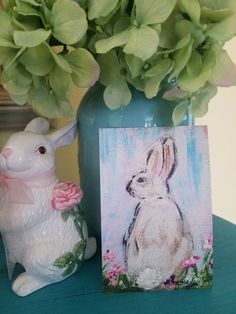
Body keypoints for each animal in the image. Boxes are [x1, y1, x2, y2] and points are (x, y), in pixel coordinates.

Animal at [0, 118, 96, 296]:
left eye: (42, 150)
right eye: (11, 138)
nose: (7, 152)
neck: (24, 184)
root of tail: (81, 256)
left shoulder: (34, 206)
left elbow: (14, 220)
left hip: (38, 258)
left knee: (50, 278)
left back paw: (24, 285)